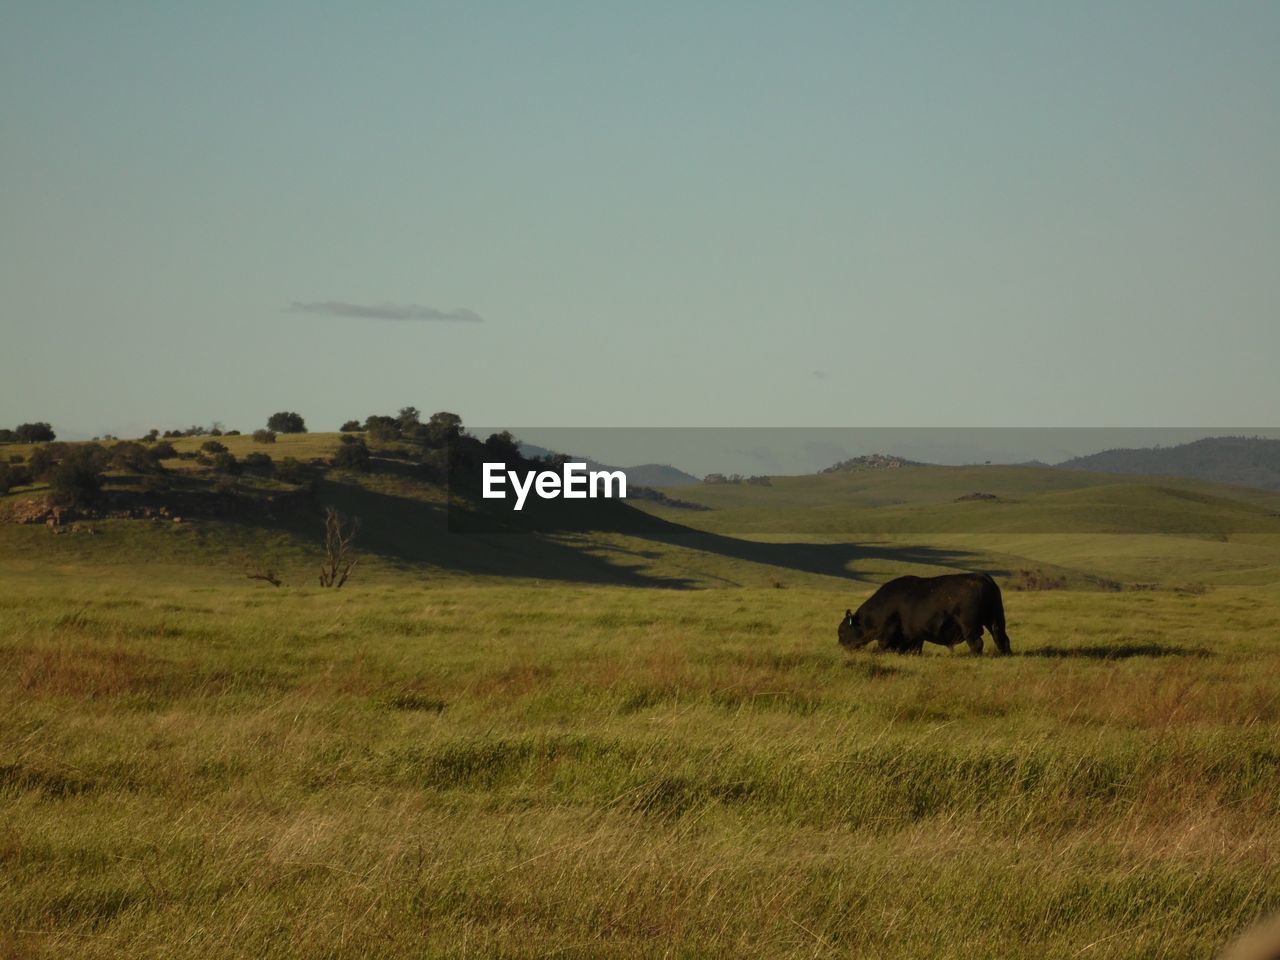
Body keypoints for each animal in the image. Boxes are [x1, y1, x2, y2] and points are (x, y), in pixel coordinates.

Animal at [839, 576, 1008, 660]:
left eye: (842, 631)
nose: (841, 645)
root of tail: (986, 580)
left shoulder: (888, 632)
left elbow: (882, 645)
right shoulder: (915, 636)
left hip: (969, 627)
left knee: (977, 643)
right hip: (995, 622)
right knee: (1002, 639)